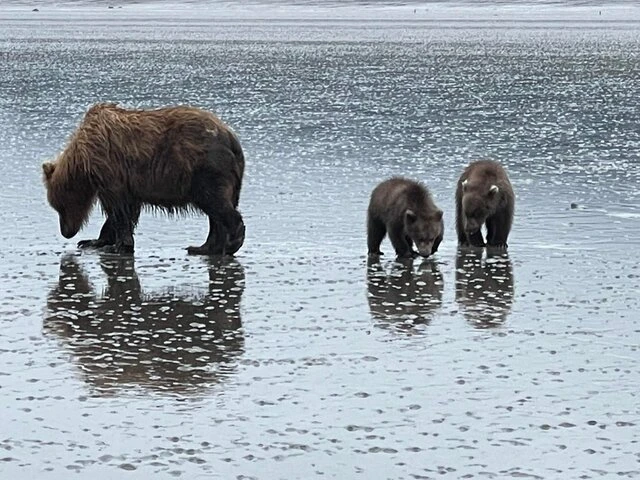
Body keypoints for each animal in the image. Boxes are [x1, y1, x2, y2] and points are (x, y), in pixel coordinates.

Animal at [42, 103, 245, 255]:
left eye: (59, 207)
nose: (66, 232)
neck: (83, 162)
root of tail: (231, 136)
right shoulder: (127, 181)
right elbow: (125, 209)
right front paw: (95, 241)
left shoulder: (110, 168)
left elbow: (118, 208)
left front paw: (117, 245)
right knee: (215, 212)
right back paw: (204, 247)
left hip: (205, 169)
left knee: (215, 202)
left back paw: (231, 242)